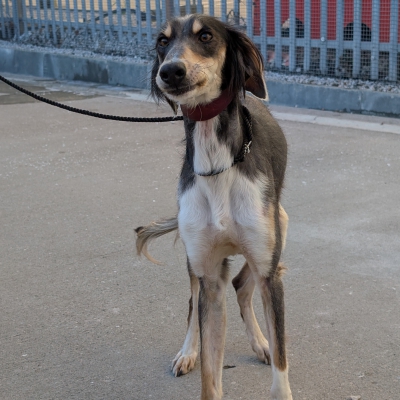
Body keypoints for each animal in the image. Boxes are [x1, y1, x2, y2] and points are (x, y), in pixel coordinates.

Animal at [136, 14, 292, 398]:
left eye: (205, 36)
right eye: (162, 42)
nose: (170, 71)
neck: (218, 163)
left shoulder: (268, 270)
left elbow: (281, 370)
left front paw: (271, 350)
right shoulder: (209, 275)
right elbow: (210, 373)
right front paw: (196, 355)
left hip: (279, 226)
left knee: (244, 283)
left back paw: (262, 342)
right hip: (198, 263)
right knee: (195, 303)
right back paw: (188, 351)